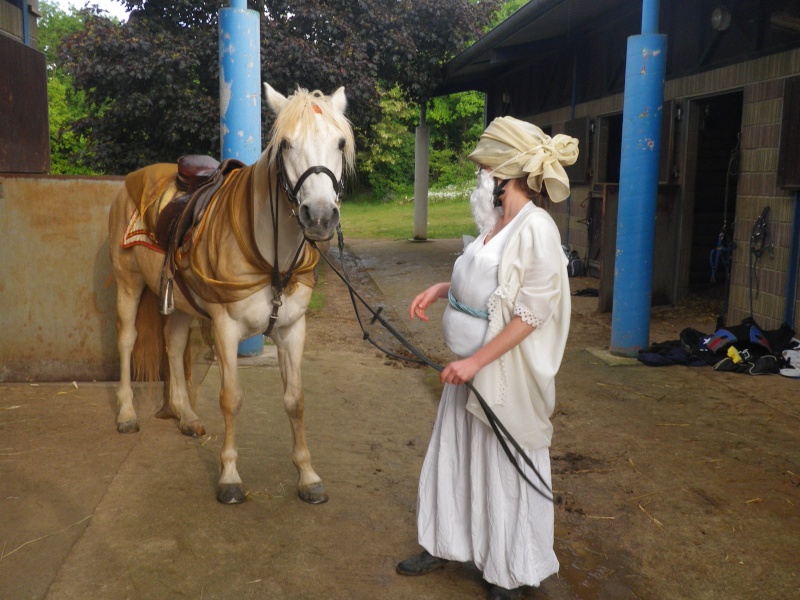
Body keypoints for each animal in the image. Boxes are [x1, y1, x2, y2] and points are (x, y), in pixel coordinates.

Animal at [108, 84, 354, 504]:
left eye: (339, 142)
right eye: (286, 143)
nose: (320, 217)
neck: (269, 253)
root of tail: (133, 181)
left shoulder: (292, 329)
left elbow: (296, 400)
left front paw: (307, 476)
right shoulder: (225, 328)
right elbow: (231, 398)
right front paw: (229, 477)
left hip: (182, 303)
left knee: (173, 343)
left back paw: (186, 416)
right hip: (129, 283)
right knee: (127, 340)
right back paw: (126, 415)